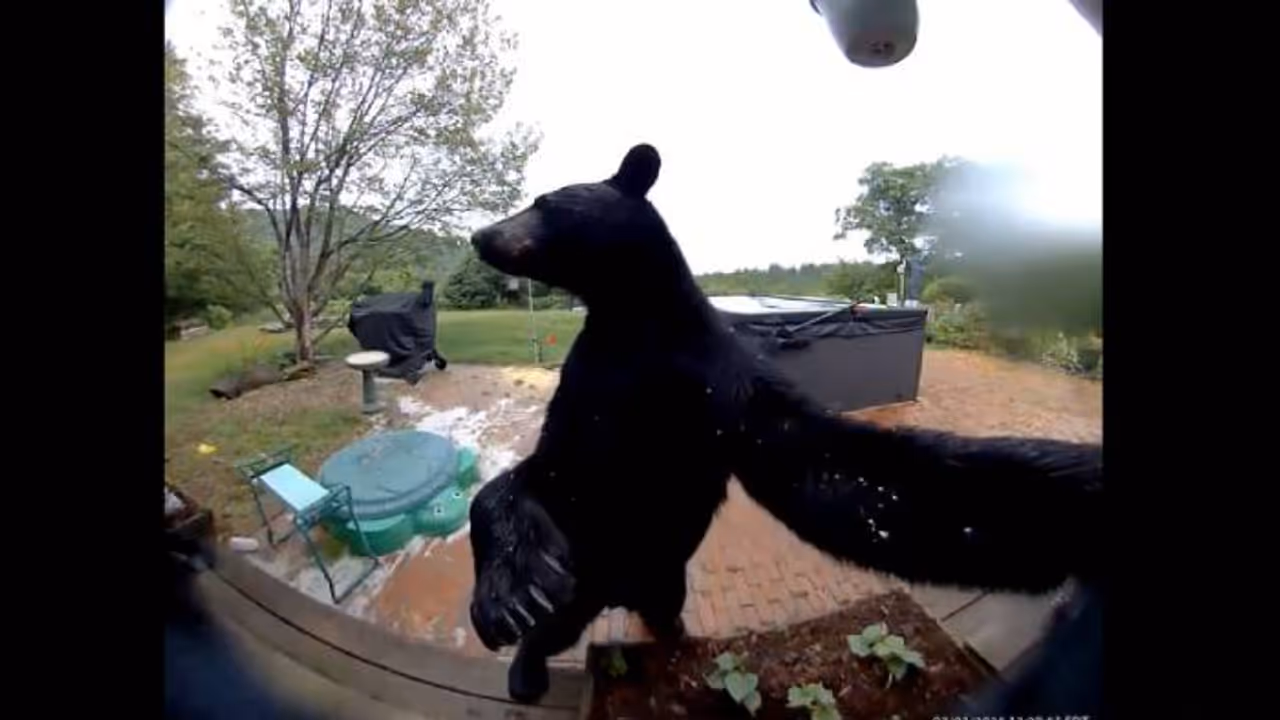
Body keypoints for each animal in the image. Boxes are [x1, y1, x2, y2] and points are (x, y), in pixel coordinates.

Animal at [466, 144, 1103, 705]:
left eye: (543, 201)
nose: (480, 235)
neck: (634, 322)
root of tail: (621, 590)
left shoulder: (722, 386)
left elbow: (849, 474)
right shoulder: (589, 392)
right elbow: (533, 477)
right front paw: (513, 592)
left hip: (655, 568)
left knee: (649, 608)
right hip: (598, 565)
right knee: (561, 619)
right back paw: (528, 657)